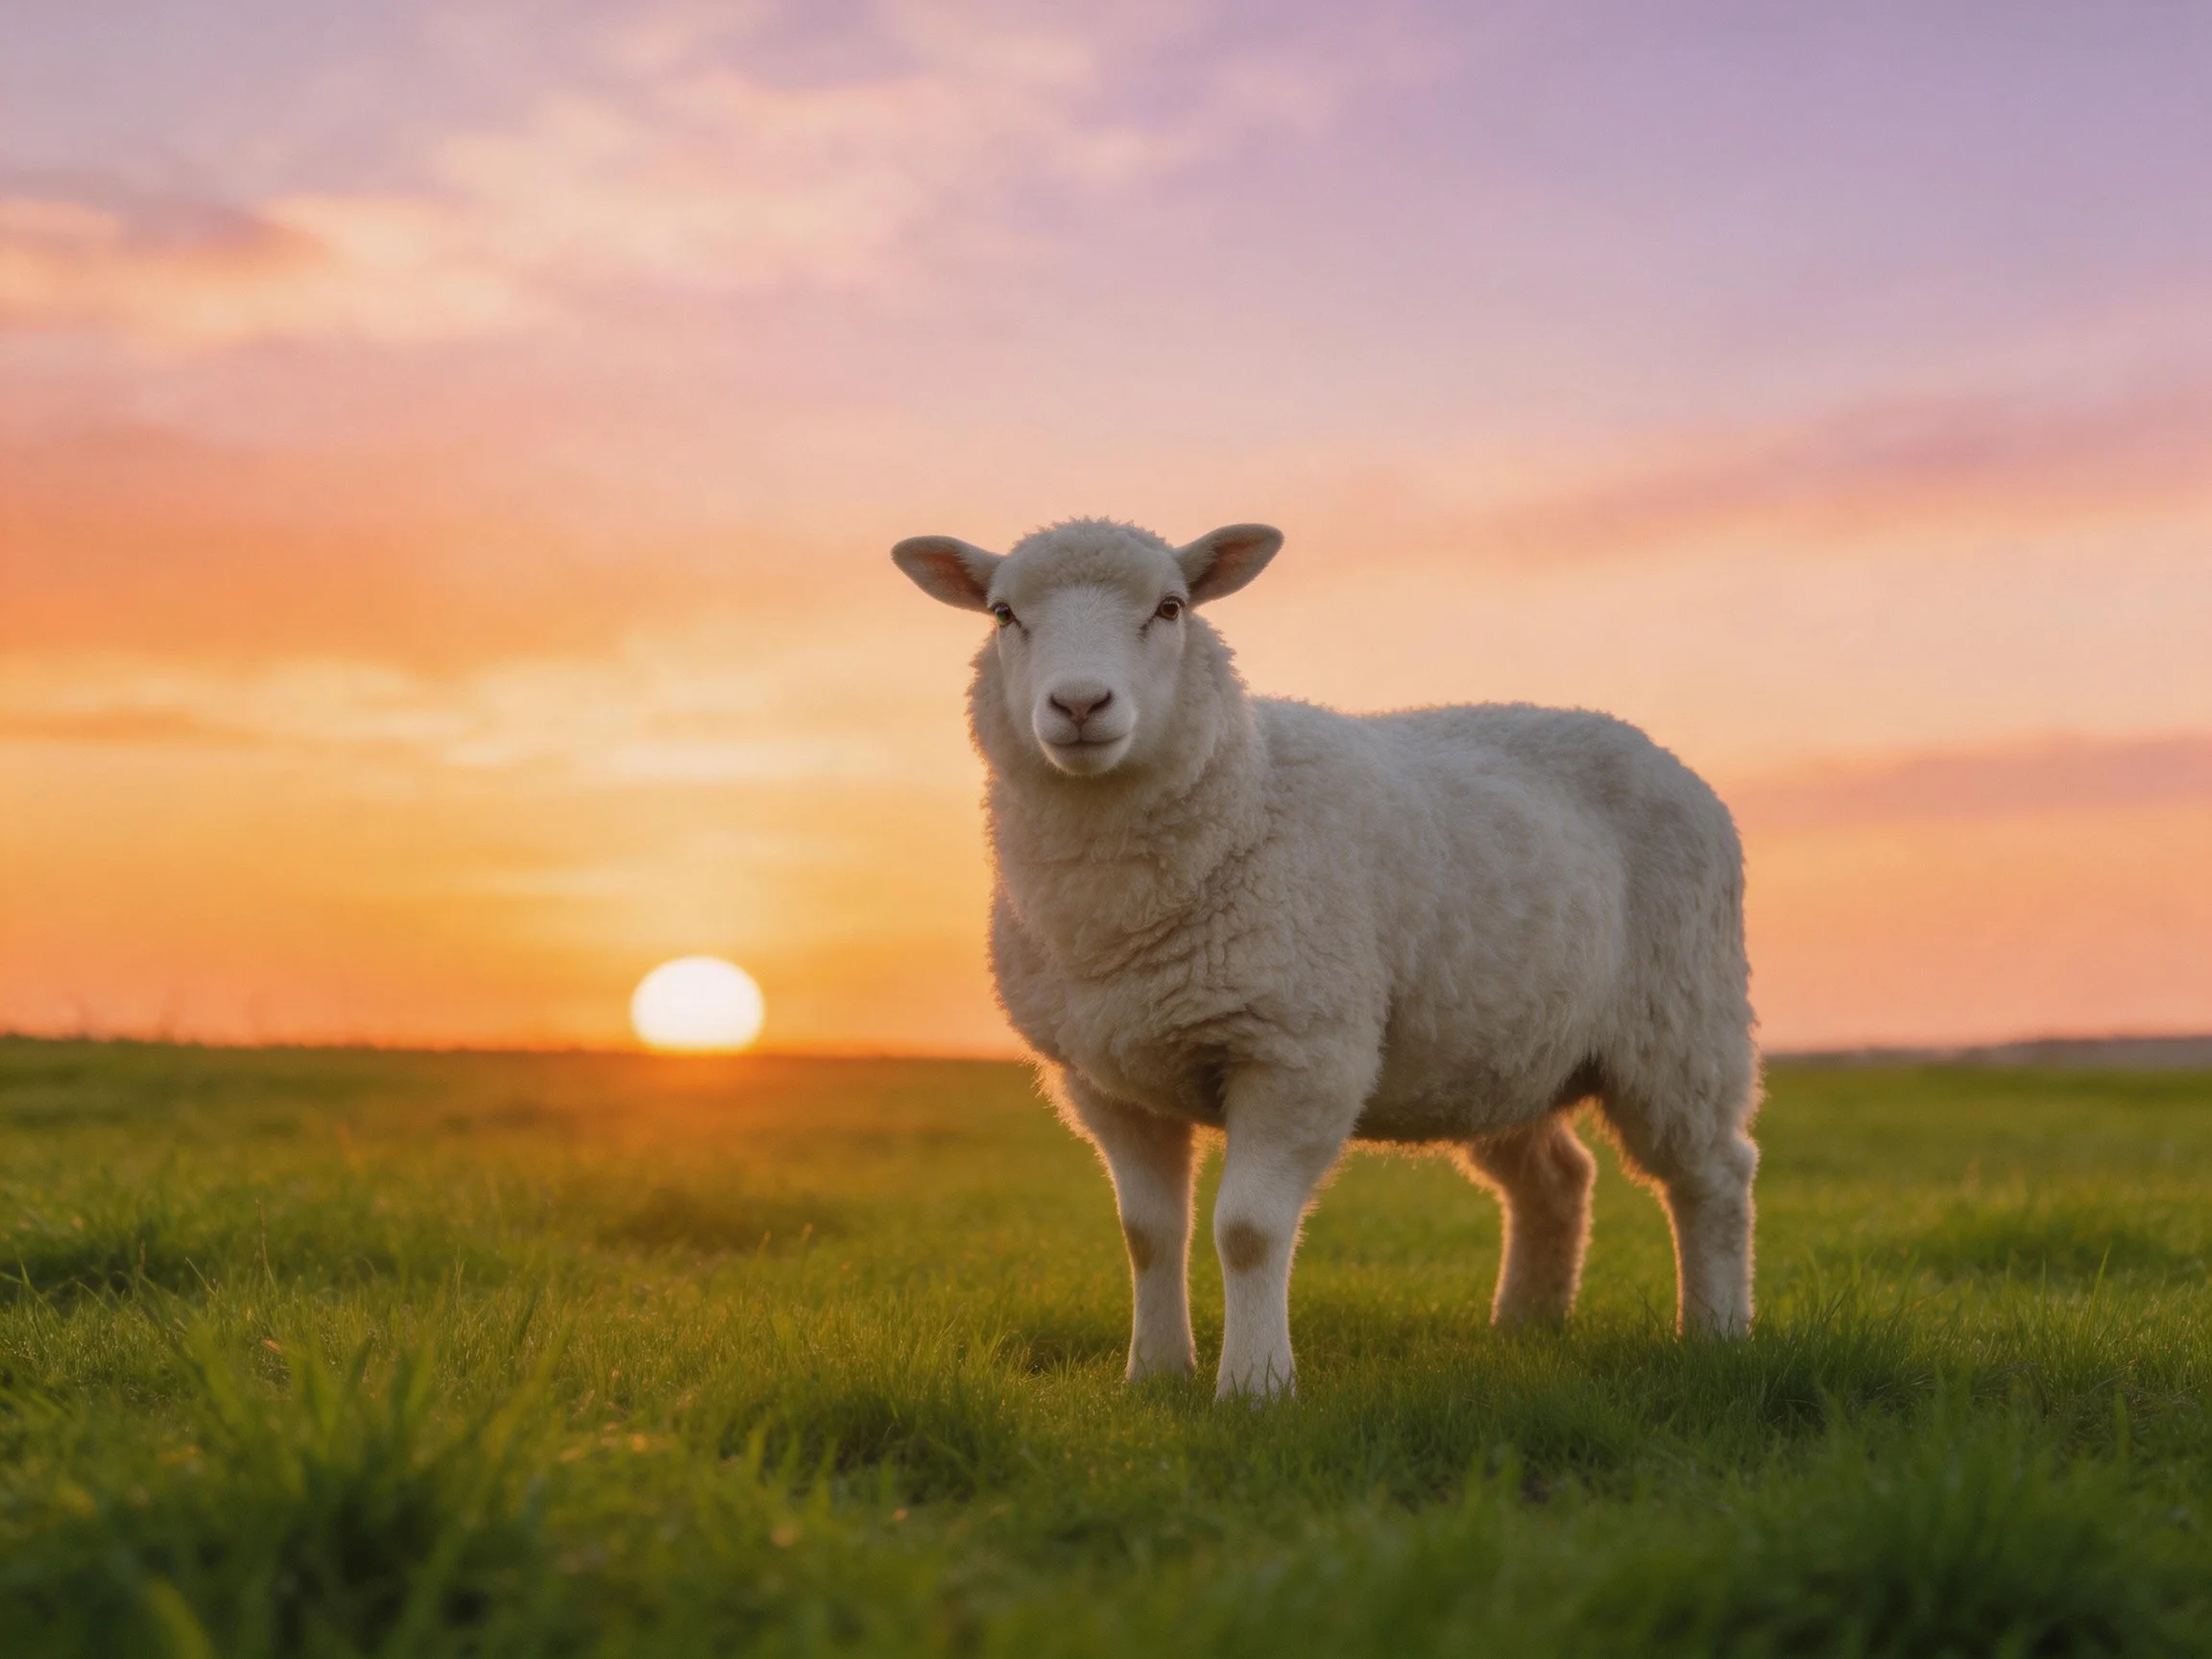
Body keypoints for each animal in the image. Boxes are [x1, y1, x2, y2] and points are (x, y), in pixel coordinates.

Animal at [893, 517, 1759, 1399]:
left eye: (1171, 607)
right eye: (1003, 614)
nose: (1078, 704)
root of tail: (1650, 745)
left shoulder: (1297, 1051)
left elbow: (1246, 1229)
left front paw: (1255, 1387)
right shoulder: (1107, 1078)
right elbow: (1147, 1233)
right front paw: (1156, 1377)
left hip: (1681, 1024)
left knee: (1714, 1174)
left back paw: (1716, 1333)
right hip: (1500, 1050)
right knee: (1556, 1180)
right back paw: (1524, 1329)